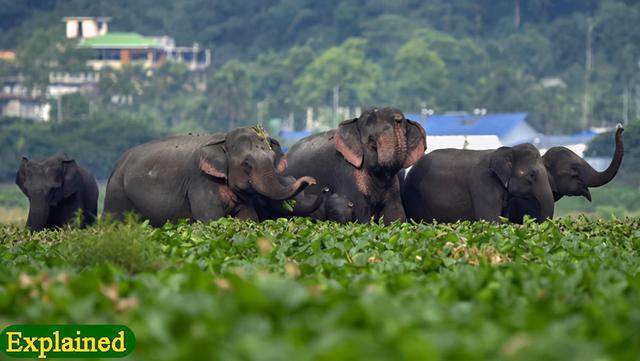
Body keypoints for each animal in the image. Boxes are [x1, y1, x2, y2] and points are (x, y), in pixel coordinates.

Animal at [101, 125, 316, 224]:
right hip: (116, 194)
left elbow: (248, 220)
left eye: (272, 158)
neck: (223, 139)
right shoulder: (200, 182)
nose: (313, 181)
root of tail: (116, 165)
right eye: (246, 163)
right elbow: (210, 221)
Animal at [284, 106, 424, 222]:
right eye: (372, 142)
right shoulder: (348, 174)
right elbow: (361, 219)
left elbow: (395, 219)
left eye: (406, 134)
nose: (398, 118)